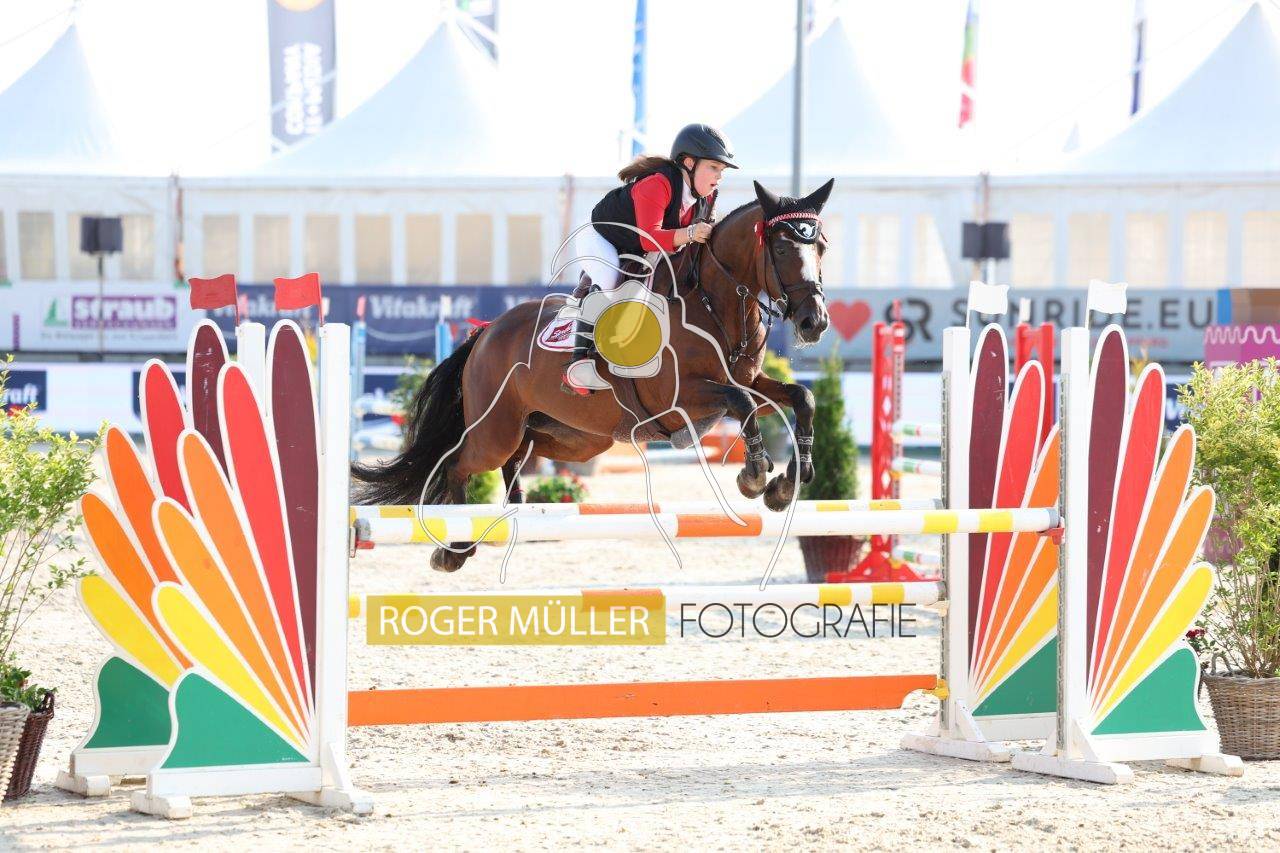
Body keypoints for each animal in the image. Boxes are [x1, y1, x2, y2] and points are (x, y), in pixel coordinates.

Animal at [352, 178, 835, 572]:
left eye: (821, 247)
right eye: (781, 248)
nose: (814, 322)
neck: (711, 305)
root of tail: (487, 332)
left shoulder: (746, 378)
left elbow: (800, 398)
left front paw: (789, 481)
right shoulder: (680, 399)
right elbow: (743, 403)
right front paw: (754, 476)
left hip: (569, 436)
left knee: (516, 462)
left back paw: (509, 517)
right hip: (495, 431)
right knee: (459, 463)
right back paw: (455, 549)